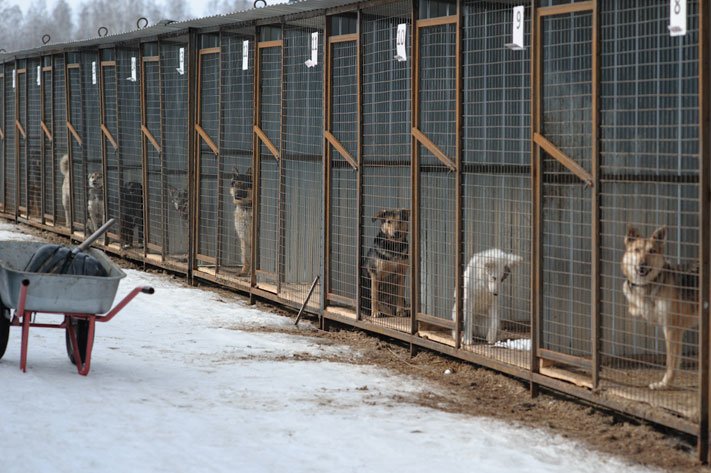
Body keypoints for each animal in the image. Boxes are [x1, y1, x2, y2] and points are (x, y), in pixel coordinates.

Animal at [624, 227, 700, 390]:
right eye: (637, 250)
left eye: (652, 251)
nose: (642, 265)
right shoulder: (675, 331)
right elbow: (675, 361)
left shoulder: (671, 329)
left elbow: (671, 361)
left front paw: (664, 384)